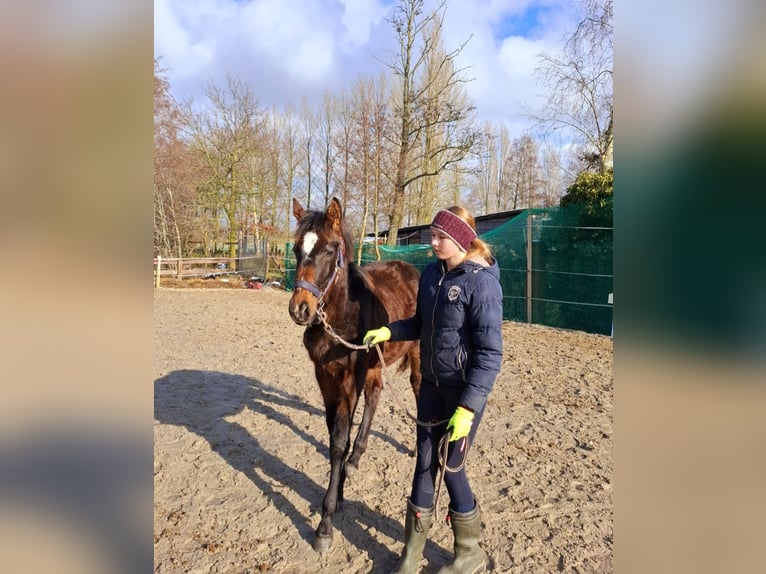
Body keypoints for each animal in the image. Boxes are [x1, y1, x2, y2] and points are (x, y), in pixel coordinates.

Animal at [288, 197, 424, 552]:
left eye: (329, 250)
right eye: (296, 248)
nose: (300, 309)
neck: (340, 316)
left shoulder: (352, 378)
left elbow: (339, 440)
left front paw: (326, 522)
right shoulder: (325, 378)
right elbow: (337, 437)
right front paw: (338, 495)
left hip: (417, 354)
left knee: (419, 389)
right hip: (375, 362)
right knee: (375, 397)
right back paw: (356, 459)